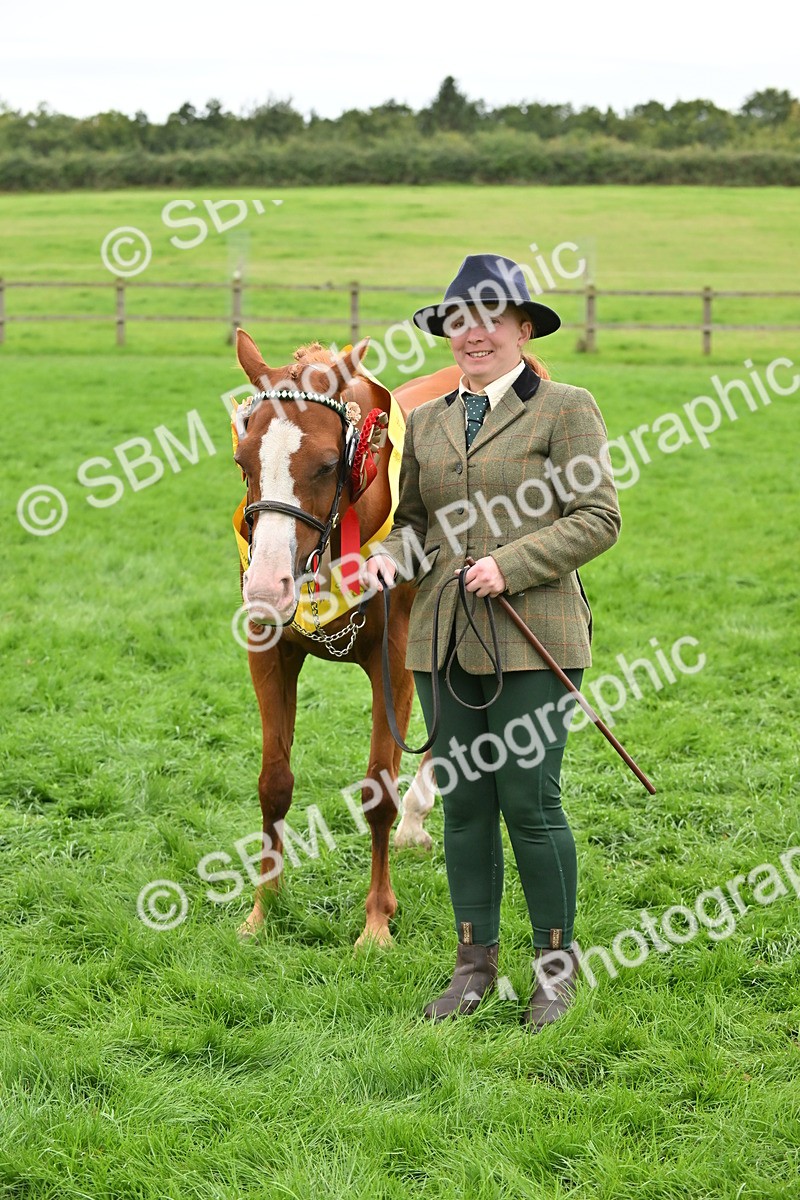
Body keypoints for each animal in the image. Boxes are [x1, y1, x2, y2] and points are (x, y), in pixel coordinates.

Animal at [232, 329, 452, 946]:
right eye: (243, 461)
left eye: (329, 464)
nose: (266, 585)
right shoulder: (270, 654)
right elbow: (274, 783)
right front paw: (263, 907)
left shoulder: (394, 665)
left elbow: (378, 790)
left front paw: (376, 920)